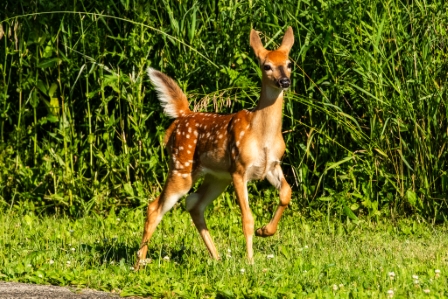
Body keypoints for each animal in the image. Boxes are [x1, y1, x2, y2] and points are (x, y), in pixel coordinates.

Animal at [138, 27, 296, 268]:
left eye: (289, 64)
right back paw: (139, 263)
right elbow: (247, 218)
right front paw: (251, 262)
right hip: (181, 167)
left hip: (217, 178)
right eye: (266, 65)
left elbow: (286, 193)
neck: (262, 134)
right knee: (154, 207)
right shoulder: (239, 169)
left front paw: (265, 231)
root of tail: (183, 114)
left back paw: (217, 257)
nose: (284, 82)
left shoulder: (271, 165)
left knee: (194, 204)